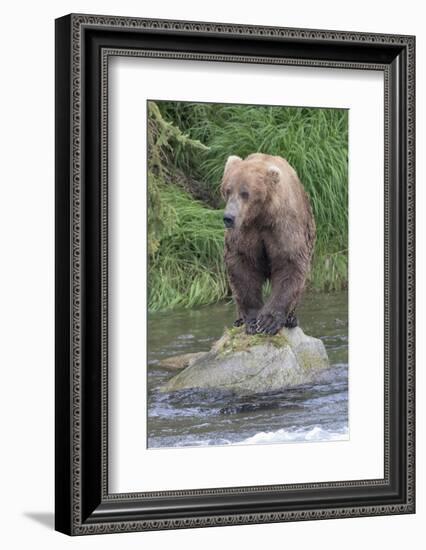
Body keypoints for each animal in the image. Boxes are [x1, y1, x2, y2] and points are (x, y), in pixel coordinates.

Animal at [220, 154, 316, 336]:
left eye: (245, 193)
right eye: (227, 190)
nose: (229, 217)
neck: (261, 215)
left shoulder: (282, 226)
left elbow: (290, 263)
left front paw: (267, 322)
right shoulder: (245, 232)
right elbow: (242, 266)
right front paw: (252, 321)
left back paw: (291, 319)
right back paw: (238, 320)